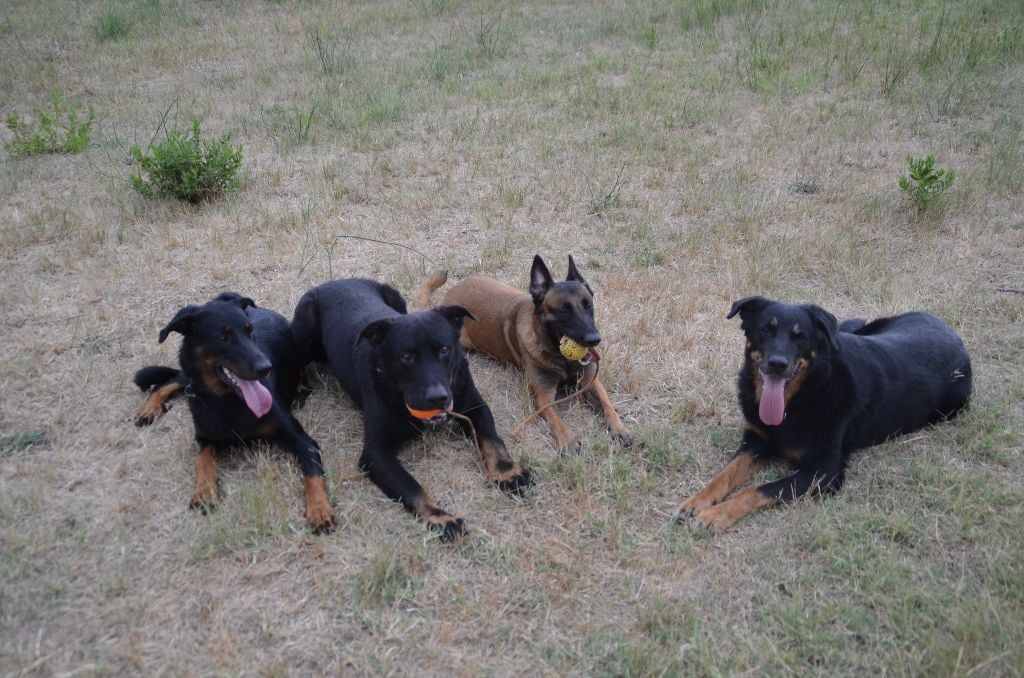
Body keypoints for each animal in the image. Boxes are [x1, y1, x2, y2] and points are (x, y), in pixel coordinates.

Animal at [133, 292, 335, 536]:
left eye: (250, 331)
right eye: (223, 337)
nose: (266, 368)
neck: (227, 401)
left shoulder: (301, 439)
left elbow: (312, 473)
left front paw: (319, 509)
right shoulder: (205, 437)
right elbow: (202, 459)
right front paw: (205, 490)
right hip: (189, 379)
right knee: (172, 380)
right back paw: (149, 409)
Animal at [288, 278, 528, 544]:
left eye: (444, 349)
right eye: (406, 356)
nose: (438, 397)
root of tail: (334, 282)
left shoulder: (475, 407)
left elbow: (491, 439)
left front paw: (506, 472)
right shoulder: (376, 454)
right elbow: (411, 487)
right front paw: (439, 518)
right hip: (304, 330)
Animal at [417, 258, 630, 454]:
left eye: (588, 306)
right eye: (564, 310)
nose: (595, 339)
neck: (561, 360)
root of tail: (449, 297)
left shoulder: (590, 381)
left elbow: (607, 404)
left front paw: (619, 428)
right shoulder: (543, 396)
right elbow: (557, 420)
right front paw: (568, 441)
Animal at [675, 297, 970, 536]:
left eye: (800, 336)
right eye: (766, 329)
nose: (777, 364)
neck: (800, 400)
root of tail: (952, 333)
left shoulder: (824, 473)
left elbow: (758, 489)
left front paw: (716, 515)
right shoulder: (756, 442)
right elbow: (724, 475)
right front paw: (697, 501)